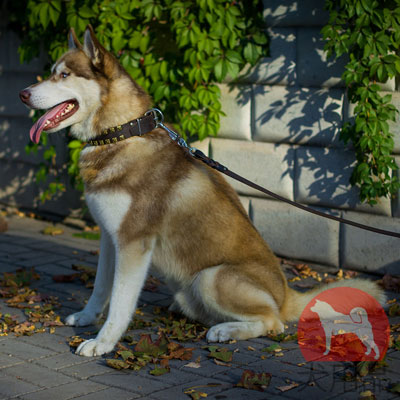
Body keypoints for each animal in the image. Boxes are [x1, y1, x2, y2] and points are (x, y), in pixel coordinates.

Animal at [19, 25, 388, 356]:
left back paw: (226, 330)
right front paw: (86, 317)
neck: (121, 133)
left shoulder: (134, 243)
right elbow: (100, 288)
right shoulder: (111, 238)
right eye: (51, 73)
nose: (23, 94)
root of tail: (287, 293)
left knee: (275, 323)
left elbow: (121, 302)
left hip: (211, 278)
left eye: (63, 75)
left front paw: (103, 342)